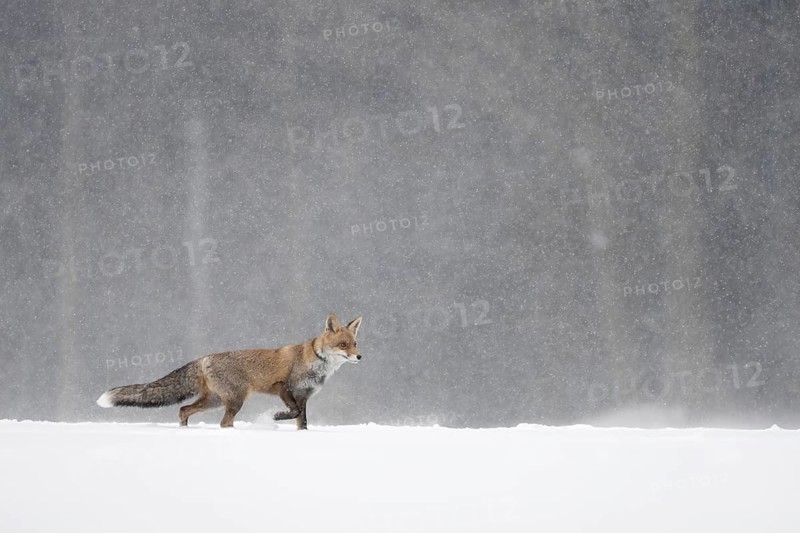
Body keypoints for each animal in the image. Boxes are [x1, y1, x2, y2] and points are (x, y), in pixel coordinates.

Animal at [96, 314, 362, 429]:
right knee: (223, 422)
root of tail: (204, 358)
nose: (359, 357)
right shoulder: (283, 388)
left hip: (214, 400)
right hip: (235, 400)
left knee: (184, 410)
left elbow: (302, 422)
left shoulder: (304, 397)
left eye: (355, 343)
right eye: (343, 345)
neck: (314, 362)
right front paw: (276, 417)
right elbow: (293, 412)